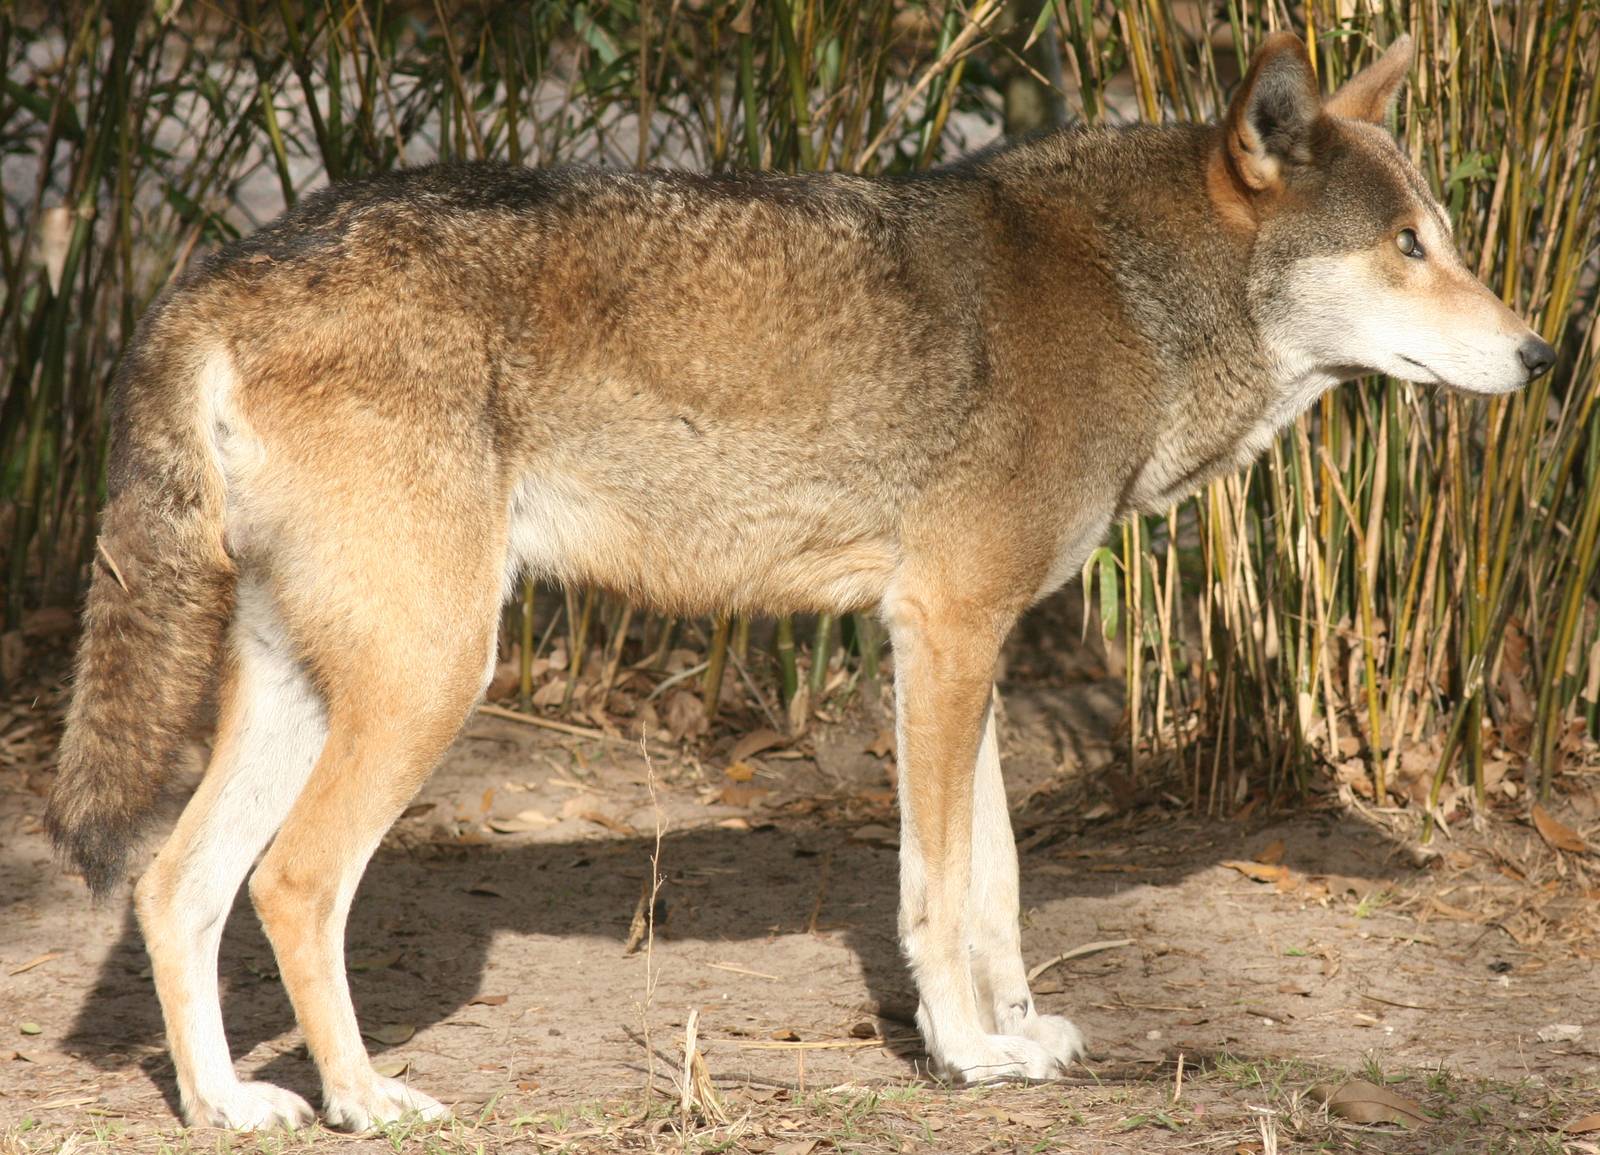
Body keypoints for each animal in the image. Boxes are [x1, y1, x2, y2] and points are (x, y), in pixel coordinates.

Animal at [46, 31, 1550, 1130]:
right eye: (1408, 247)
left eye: (1448, 234)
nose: (1539, 353)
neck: (1138, 293)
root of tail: (216, 276)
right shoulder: (944, 635)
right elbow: (942, 891)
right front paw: (967, 1056)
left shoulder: (966, 646)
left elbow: (996, 880)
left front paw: (1013, 1037)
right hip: (430, 680)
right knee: (293, 882)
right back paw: (363, 1098)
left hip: (314, 685)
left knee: (174, 885)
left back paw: (230, 1106)